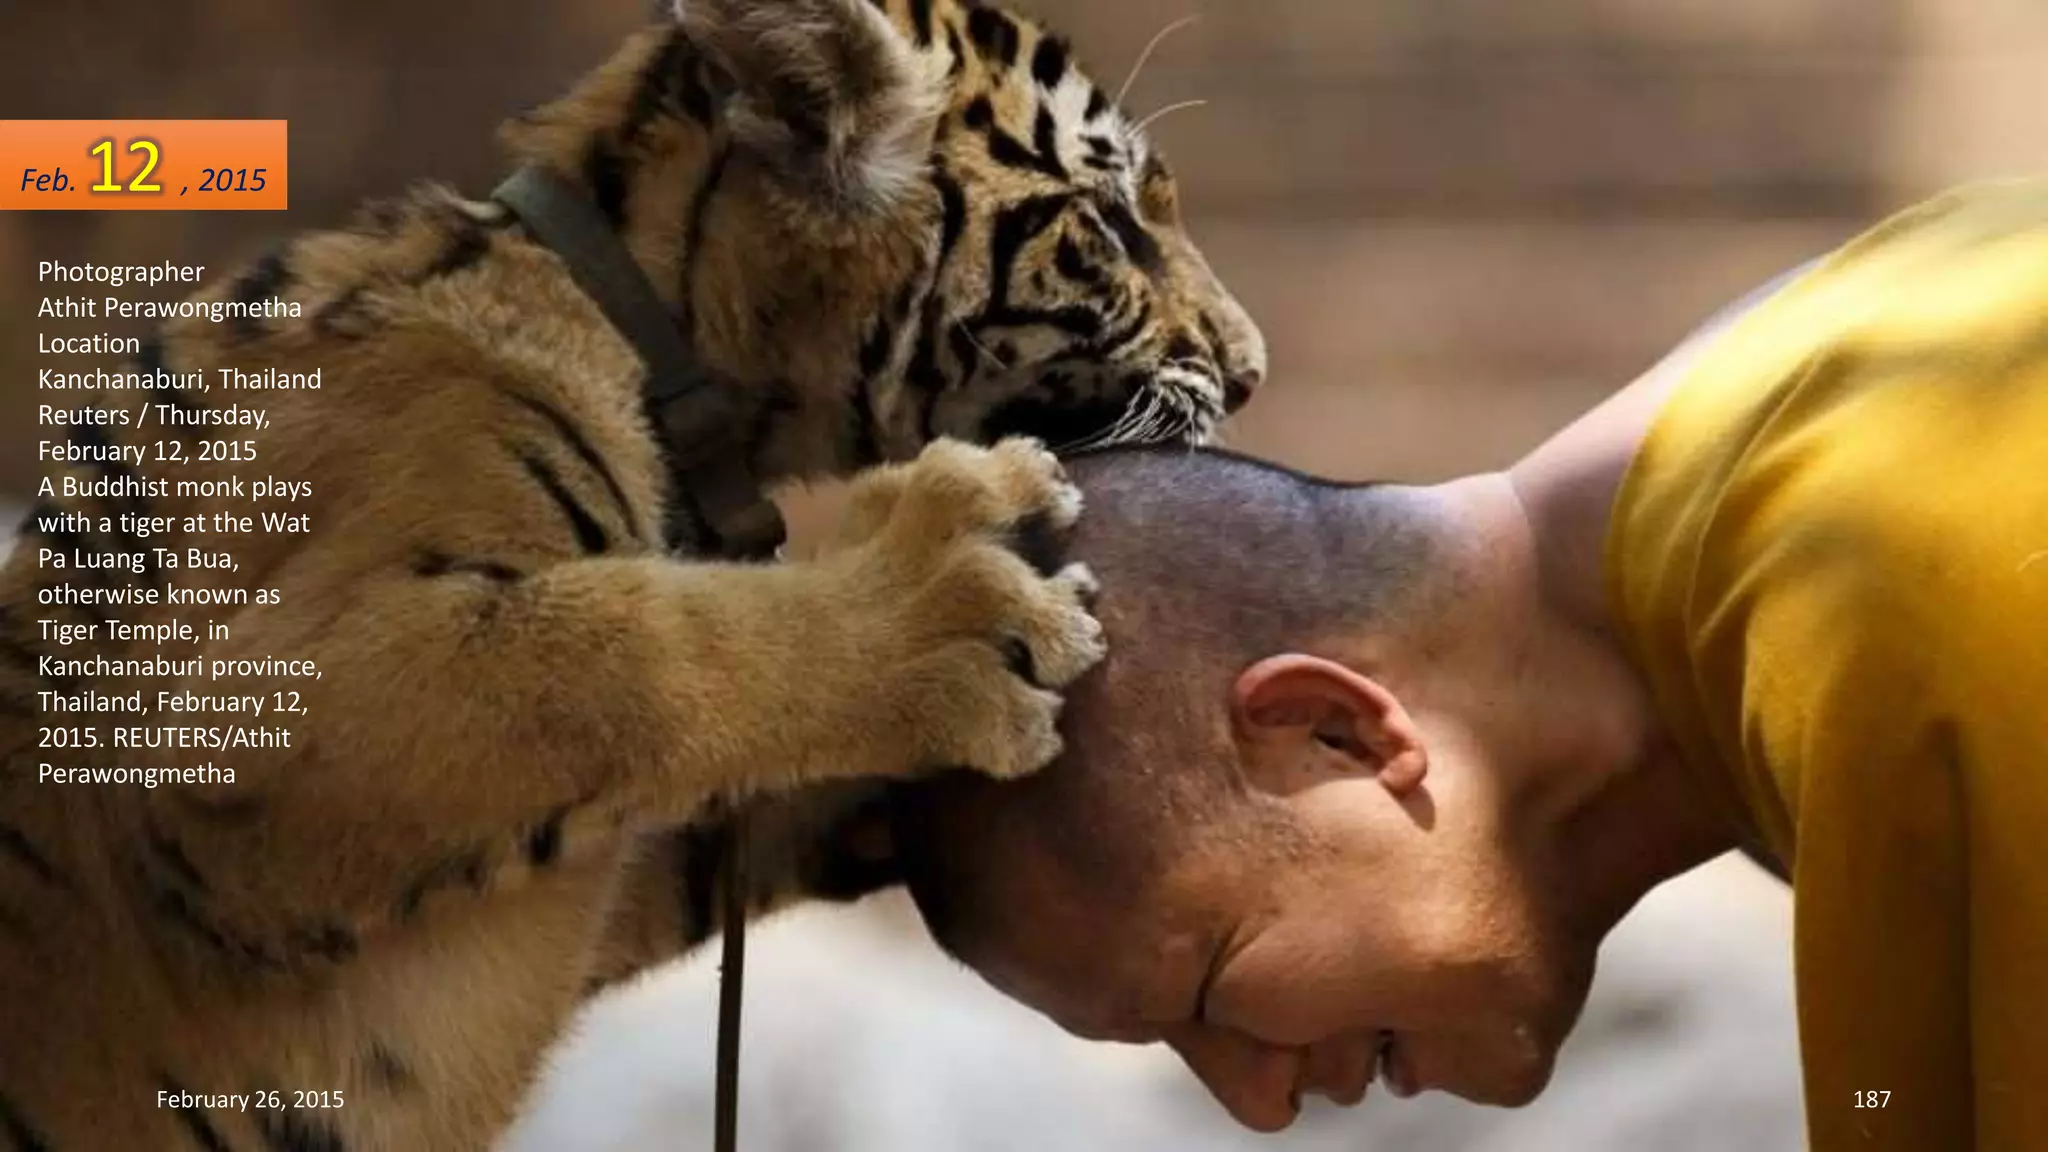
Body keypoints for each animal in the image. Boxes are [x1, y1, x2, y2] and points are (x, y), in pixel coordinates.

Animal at [0, 0, 1266, 1147]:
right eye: (1110, 225)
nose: (1252, 370)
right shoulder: (266, 699)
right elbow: (636, 654)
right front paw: (944, 594)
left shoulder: (598, 884)